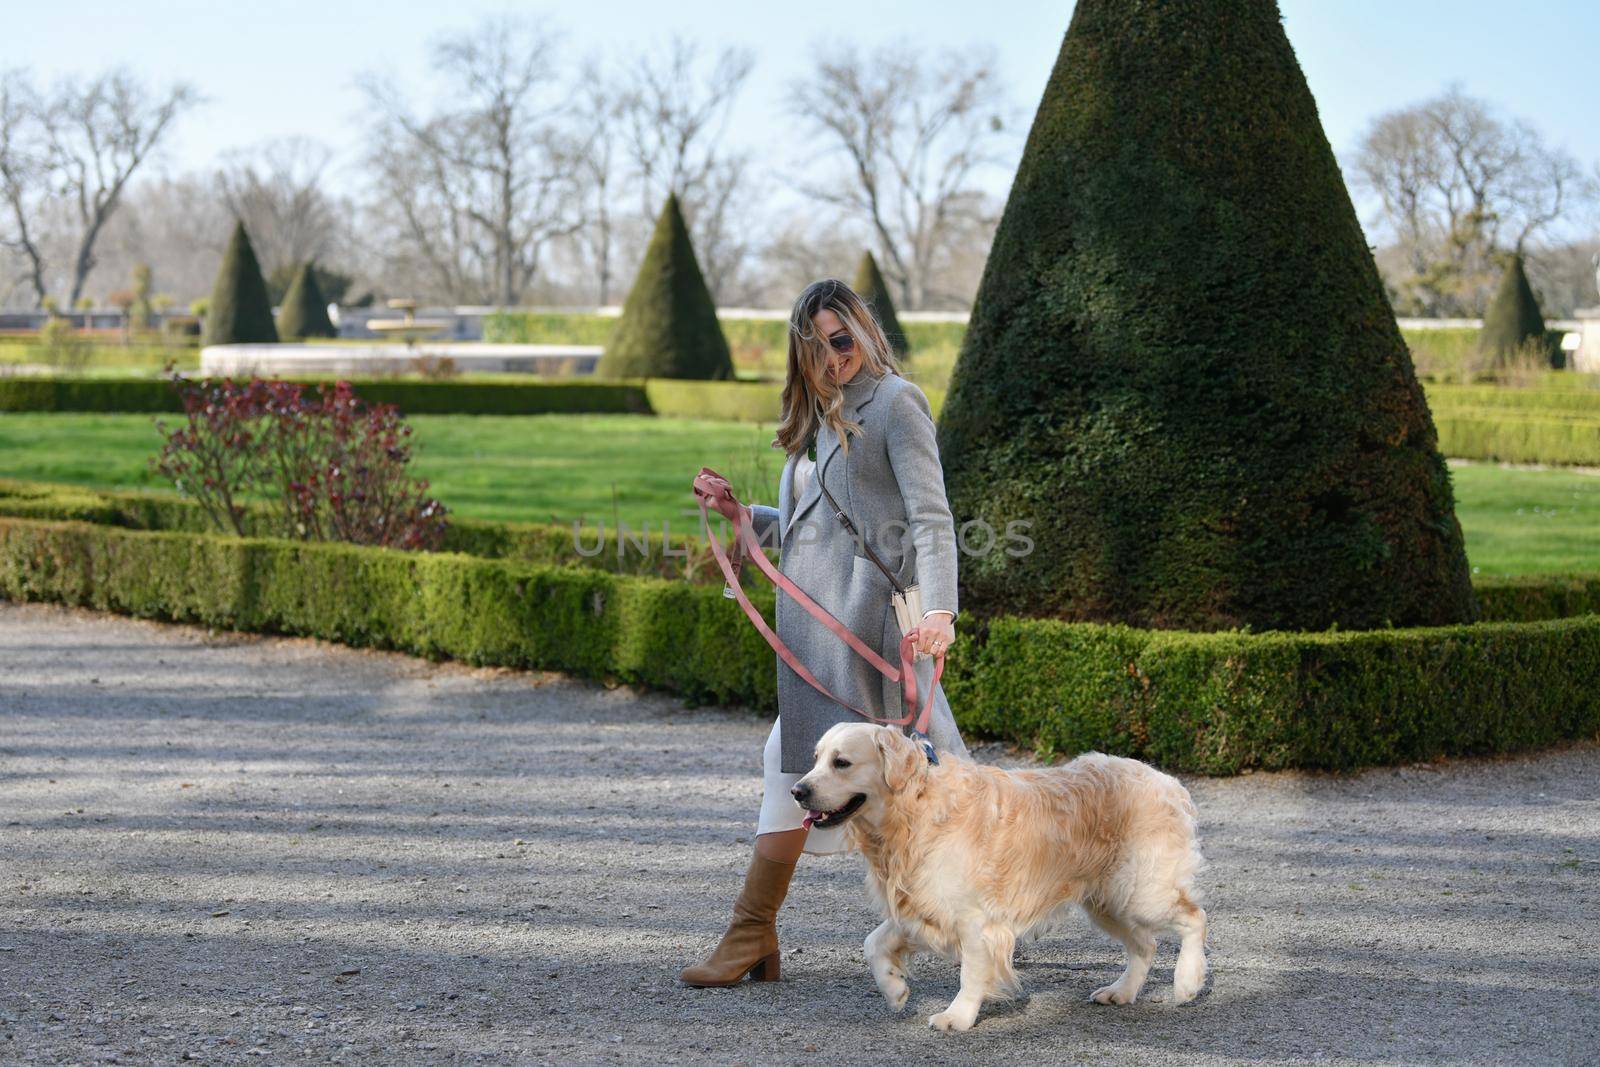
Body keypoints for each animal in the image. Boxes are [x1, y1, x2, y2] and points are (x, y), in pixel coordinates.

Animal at [793, 723, 1203, 1030]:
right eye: (814, 759)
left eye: (841, 762)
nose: (798, 790)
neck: (915, 808)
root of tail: (1167, 781)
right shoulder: (923, 903)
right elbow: (872, 942)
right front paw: (894, 989)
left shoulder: (975, 919)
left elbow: (972, 973)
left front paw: (957, 1016)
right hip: (1108, 902)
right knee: (1145, 945)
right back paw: (1121, 991)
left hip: (1142, 892)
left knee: (1194, 918)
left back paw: (1187, 982)